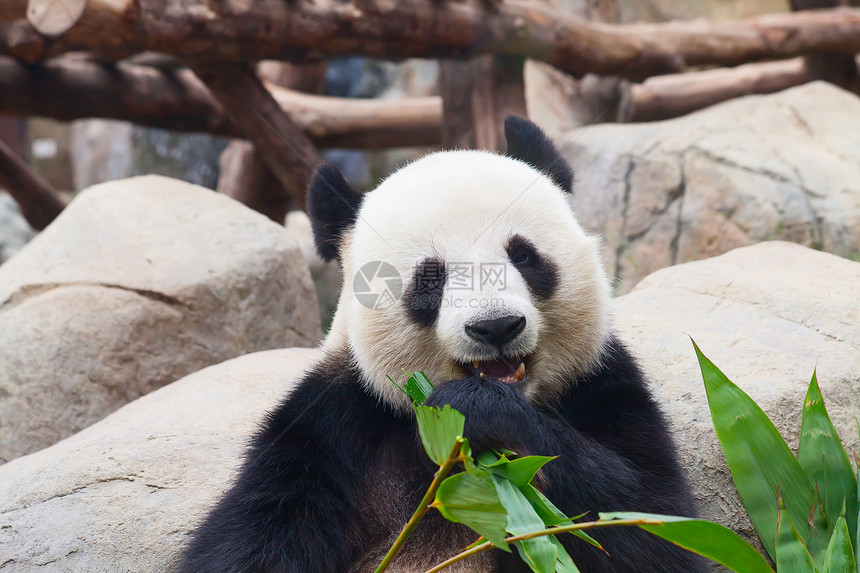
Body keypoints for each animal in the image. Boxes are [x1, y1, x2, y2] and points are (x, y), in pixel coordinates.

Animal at [181, 117, 704, 572]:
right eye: (430, 278)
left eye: (524, 256)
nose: (496, 327)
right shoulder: (335, 423)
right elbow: (254, 538)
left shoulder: (601, 382)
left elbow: (652, 523)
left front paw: (480, 409)